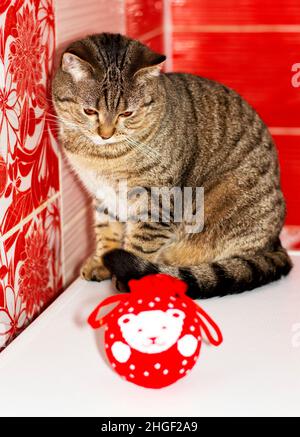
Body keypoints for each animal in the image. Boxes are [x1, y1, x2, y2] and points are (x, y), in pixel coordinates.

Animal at [52, 33, 292, 296]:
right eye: (89, 111)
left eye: (126, 114)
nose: (105, 134)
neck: (101, 156)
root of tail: (275, 245)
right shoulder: (102, 193)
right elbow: (106, 228)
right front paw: (101, 261)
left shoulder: (158, 200)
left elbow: (139, 244)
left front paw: (127, 279)